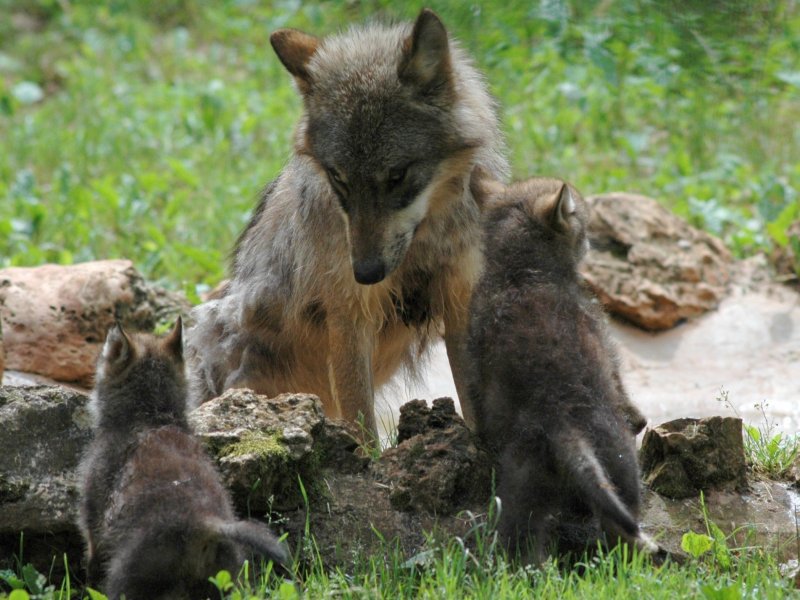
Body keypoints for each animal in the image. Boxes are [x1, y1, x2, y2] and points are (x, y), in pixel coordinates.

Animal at [186, 7, 506, 434]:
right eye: (338, 177)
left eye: (397, 175)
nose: (366, 272)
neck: (423, 243)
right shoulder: (349, 314)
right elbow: (361, 421)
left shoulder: (457, 297)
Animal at [466, 173, 652, 564]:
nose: (591, 242)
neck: (519, 273)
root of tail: (561, 424)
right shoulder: (605, 340)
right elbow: (622, 385)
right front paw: (639, 416)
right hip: (623, 462)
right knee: (622, 527)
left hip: (522, 490)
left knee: (518, 548)